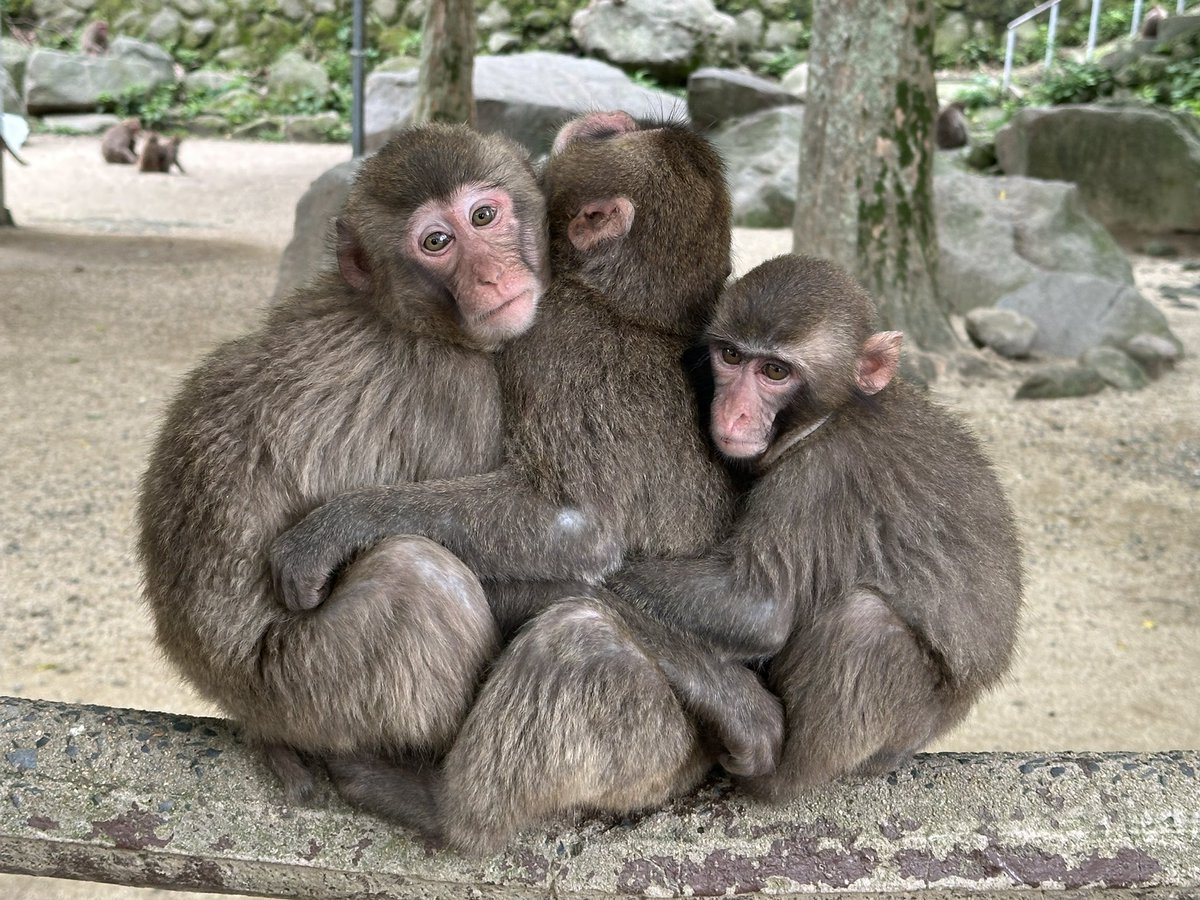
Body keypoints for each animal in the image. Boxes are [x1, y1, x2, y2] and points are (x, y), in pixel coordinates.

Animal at [136, 123, 549, 799]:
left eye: (483, 216)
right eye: (436, 242)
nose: (490, 278)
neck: (407, 317)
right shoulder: (460, 389)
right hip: (309, 683)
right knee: (416, 577)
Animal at [271, 111, 784, 854]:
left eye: (607, 136)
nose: (600, 121)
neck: (628, 310)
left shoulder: (546, 338)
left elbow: (576, 527)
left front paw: (337, 527)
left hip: (649, 747)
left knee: (577, 645)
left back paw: (440, 808)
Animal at [613, 254, 1024, 797]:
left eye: (774, 371)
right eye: (730, 356)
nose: (733, 412)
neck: (832, 415)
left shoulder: (819, 478)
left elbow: (755, 608)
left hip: (905, 726)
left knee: (864, 625)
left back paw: (775, 780)